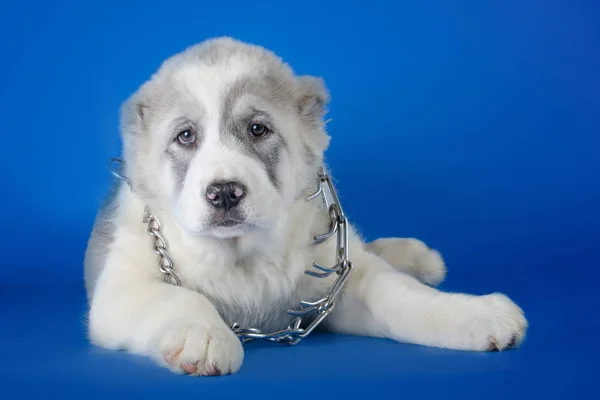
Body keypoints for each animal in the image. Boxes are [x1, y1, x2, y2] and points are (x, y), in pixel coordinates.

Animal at [83, 36, 524, 376]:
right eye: (186, 136)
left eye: (258, 129)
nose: (224, 192)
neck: (242, 258)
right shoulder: (118, 290)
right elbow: (181, 297)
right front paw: (203, 336)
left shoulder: (342, 284)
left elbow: (402, 296)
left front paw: (475, 314)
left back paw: (419, 258)